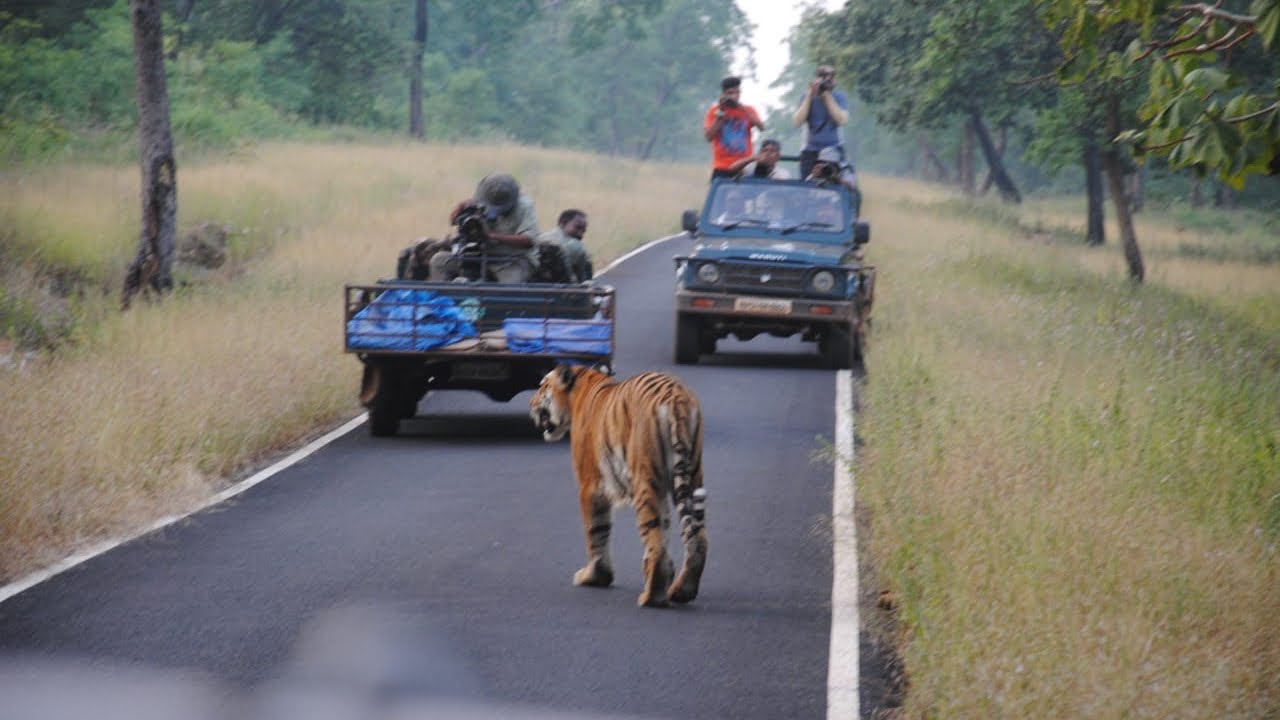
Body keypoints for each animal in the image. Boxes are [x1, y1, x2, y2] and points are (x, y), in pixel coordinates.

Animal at [530, 363, 708, 608]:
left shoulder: (590, 485)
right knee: (696, 537)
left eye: (542, 387)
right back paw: (681, 590)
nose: (531, 404)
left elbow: (596, 531)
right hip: (691, 473)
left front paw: (595, 576)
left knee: (656, 543)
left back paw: (651, 596)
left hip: (645, 481)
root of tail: (676, 396)